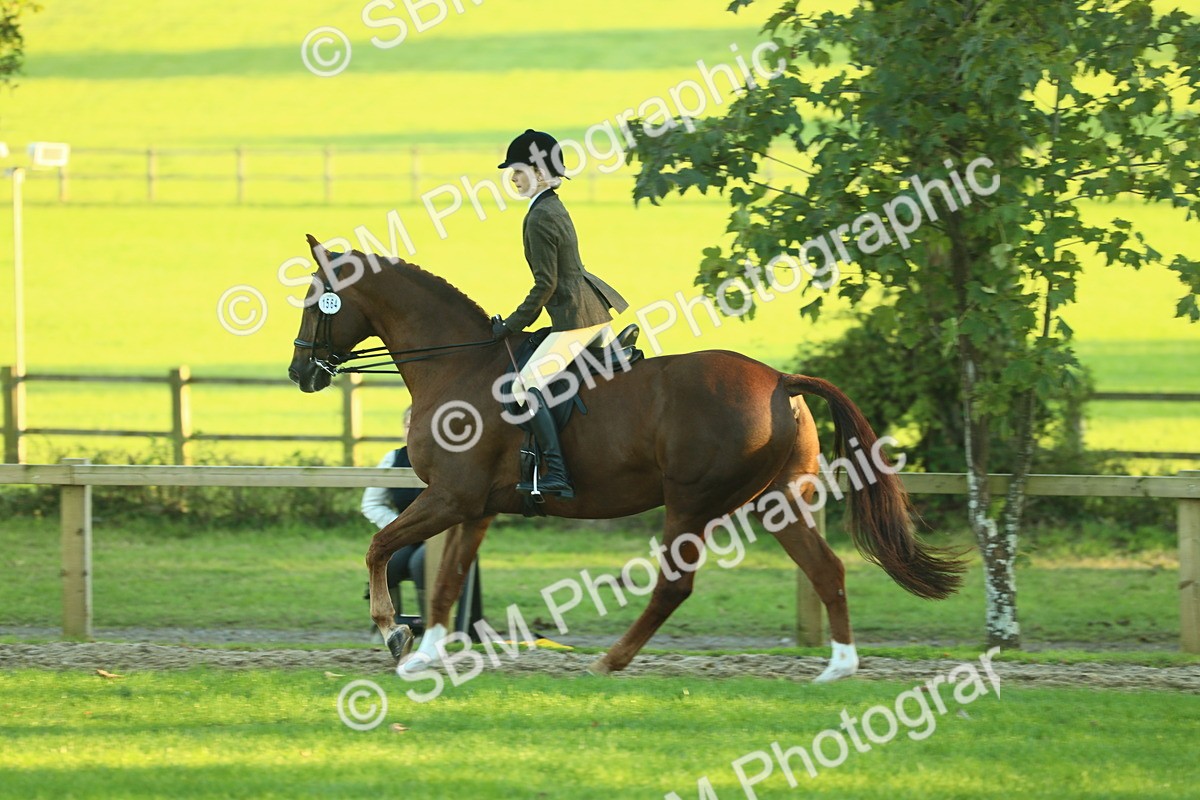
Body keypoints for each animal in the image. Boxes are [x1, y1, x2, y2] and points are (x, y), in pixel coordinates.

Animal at [287, 236, 965, 683]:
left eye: (318, 298)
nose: (300, 373)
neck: (458, 364)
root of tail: (780, 380)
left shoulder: (450, 497)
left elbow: (379, 547)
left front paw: (391, 632)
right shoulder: (473, 506)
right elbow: (448, 579)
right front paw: (424, 652)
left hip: (692, 502)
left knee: (674, 585)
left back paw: (610, 660)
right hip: (777, 502)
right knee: (827, 570)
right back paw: (839, 669)